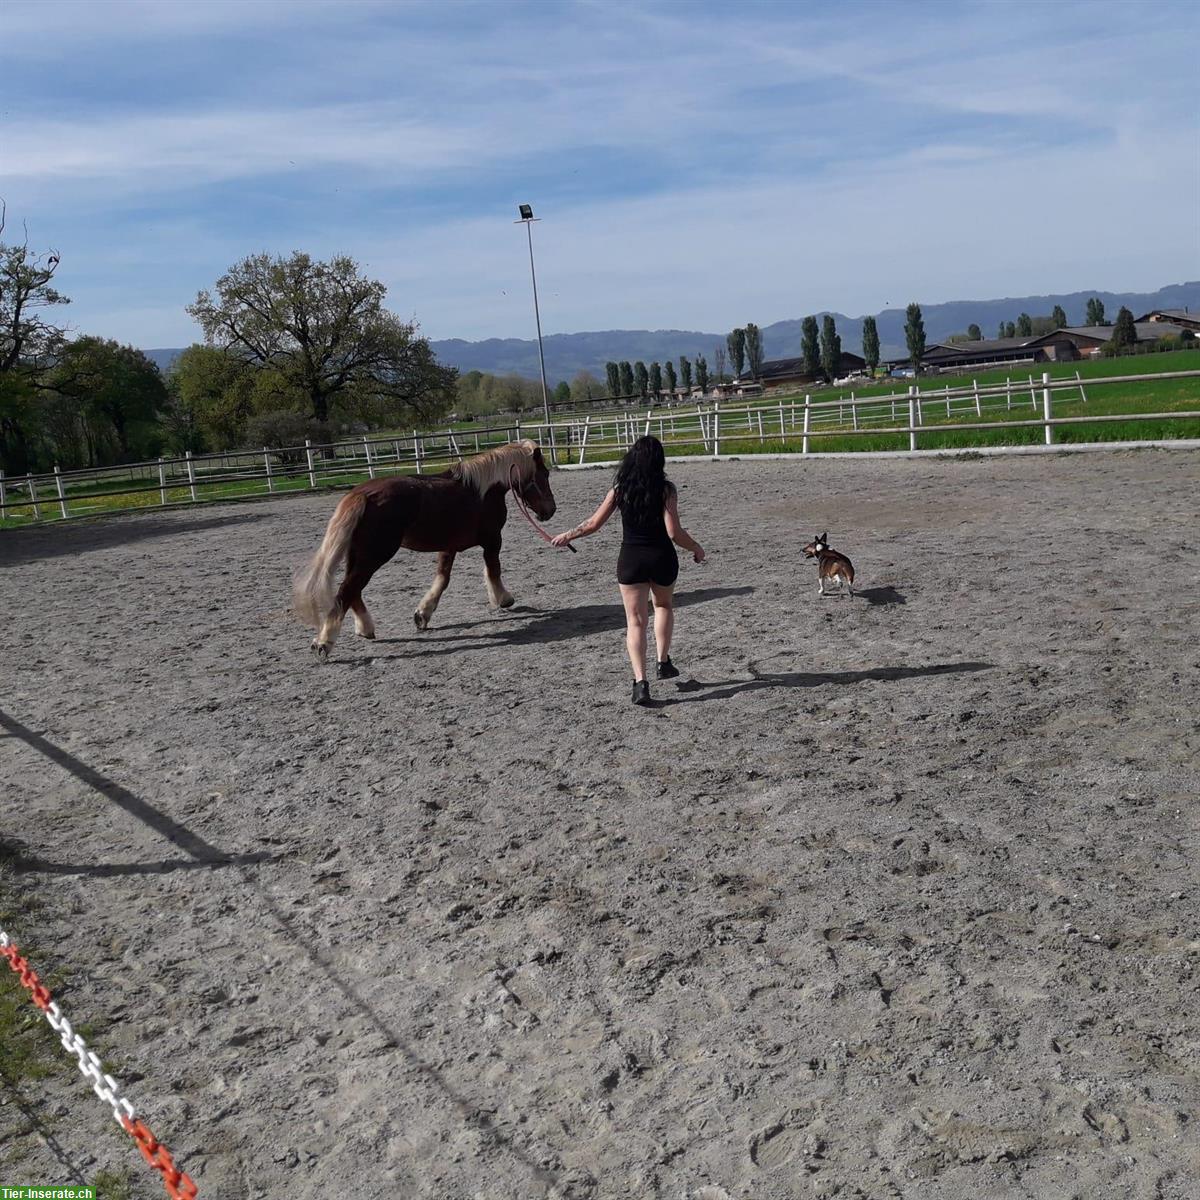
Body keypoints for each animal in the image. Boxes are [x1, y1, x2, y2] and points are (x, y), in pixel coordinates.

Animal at [290, 439, 556, 662]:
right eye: (544, 474)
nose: (550, 510)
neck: (483, 489)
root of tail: (361, 494)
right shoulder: (492, 540)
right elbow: (493, 570)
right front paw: (503, 599)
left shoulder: (449, 547)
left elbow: (443, 579)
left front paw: (423, 614)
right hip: (375, 555)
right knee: (347, 590)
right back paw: (324, 643)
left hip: (359, 555)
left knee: (352, 590)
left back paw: (365, 629)